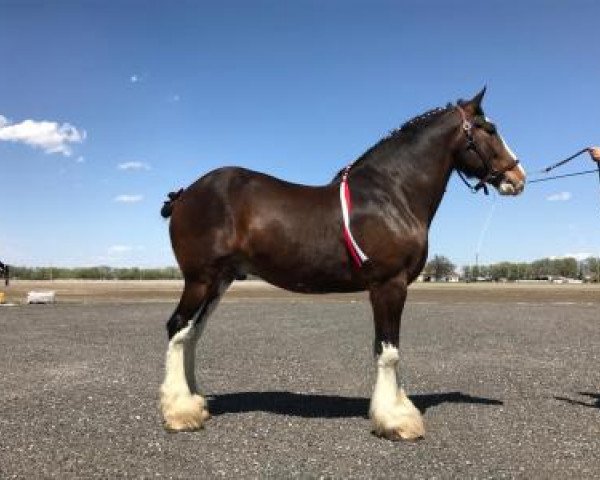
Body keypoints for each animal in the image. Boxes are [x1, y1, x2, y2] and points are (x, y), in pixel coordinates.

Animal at [158, 88, 524, 440]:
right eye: (489, 129)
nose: (518, 177)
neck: (393, 195)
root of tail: (186, 193)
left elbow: (387, 348)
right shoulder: (389, 285)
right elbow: (389, 350)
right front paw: (396, 421)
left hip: (220, 280)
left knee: (192, 333)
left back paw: (195, 401)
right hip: (200, 279)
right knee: (178, 328)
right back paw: (179, 413)